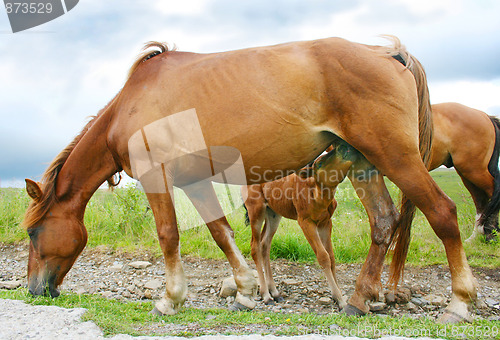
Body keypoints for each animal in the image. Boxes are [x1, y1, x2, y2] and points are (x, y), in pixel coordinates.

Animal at [22, 35, 476, 322]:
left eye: (32, 233)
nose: (34, 289)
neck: (131, 105)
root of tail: (390, 54)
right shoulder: (194, 181)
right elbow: (222, 232)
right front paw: (244, 290)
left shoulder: (158, 176)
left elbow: (169, 236)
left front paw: (170, 299)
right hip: (365, 162)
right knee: (383, 223)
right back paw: (358, 300)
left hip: (396, 157)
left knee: (443, 213)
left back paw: (458, 303)